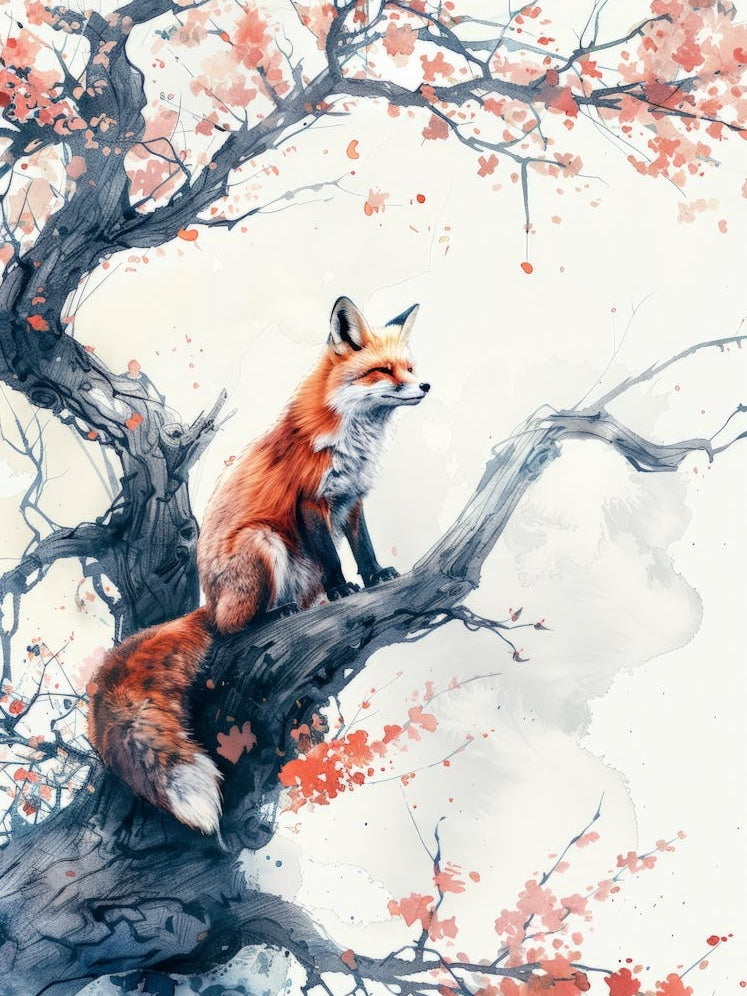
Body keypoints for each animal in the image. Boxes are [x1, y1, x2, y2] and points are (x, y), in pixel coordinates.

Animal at [88, 296, 430, 834]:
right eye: (382, 371)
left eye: (409, 368)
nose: (425, 386)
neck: (352, 438)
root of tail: (207, 603)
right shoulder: (311, 502)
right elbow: (334, 559)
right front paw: (345, 591)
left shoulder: (352, 500)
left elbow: (363, 548)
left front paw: (376, 578)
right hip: (263, 541)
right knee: (233, 628)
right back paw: (271, 615)